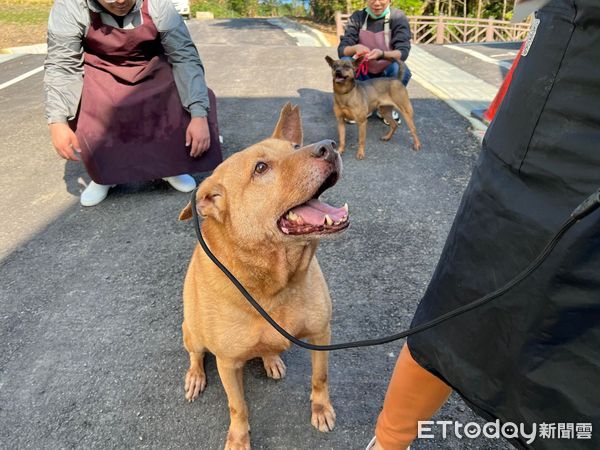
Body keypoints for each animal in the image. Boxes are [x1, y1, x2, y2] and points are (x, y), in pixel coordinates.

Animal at [176, 103, 350, 448]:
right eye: (260, 168)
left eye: (295, 146)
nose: (329, 146)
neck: (275, 282)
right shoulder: (227, 363)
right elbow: (237, 406)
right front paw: (239, 438)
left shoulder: (322, 333)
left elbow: (320, 377)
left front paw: (321, 409)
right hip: (192, 332)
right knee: (195, 355)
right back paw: (195, 376)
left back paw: (272, 359)